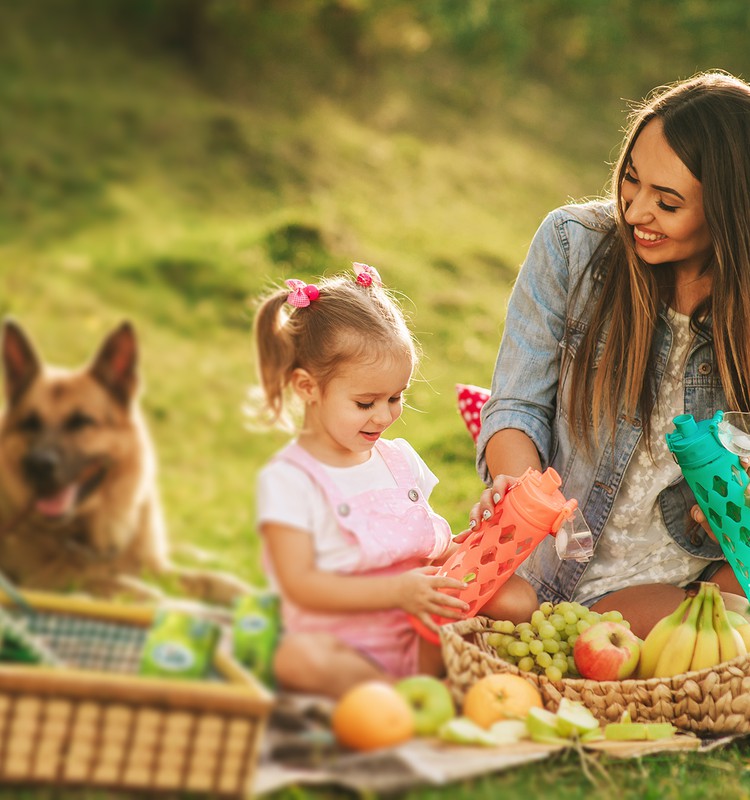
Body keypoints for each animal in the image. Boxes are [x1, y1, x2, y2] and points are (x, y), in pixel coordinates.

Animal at [0, 318, 253, 600]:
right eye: (29, 424)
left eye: (81, 422)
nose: (37, 465)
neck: (95, 538)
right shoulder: (44, 581)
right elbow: (114, 583)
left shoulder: (156, 568)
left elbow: (204, 578)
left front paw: (237, 589)